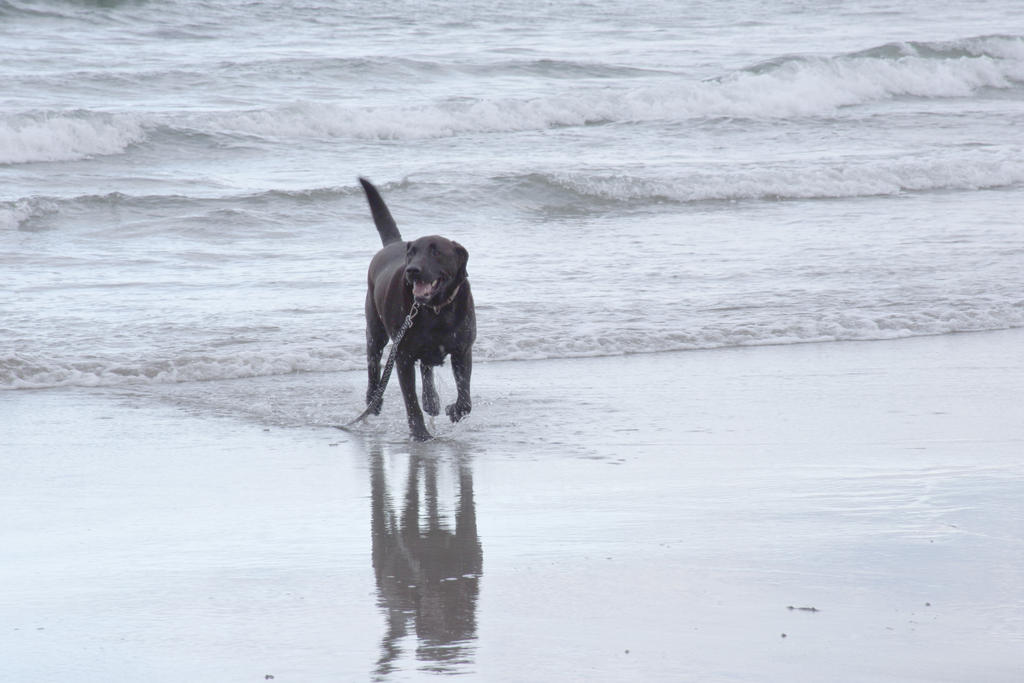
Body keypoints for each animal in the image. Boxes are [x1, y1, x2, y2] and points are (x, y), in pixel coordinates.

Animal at [360, 179, 475, 440]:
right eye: (412, 253)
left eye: (436, 251)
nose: (412, 270)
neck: (437, 310)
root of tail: (393, 244)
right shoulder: (402, 356)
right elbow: (410, 401)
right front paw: (421, 434)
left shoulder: (463, 349)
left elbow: (465, 397)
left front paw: (454, 410)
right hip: (375, 330)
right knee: (374, 363)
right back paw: (373, 401)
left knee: (426, 366)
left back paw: (431, 400)